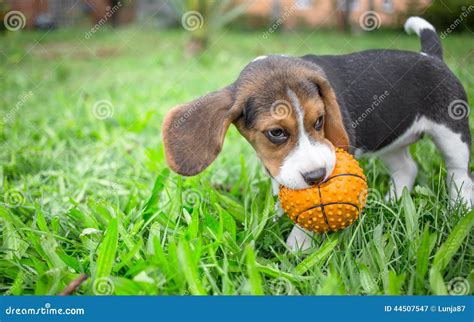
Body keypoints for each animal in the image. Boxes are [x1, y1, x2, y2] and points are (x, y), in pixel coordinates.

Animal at [162, 16, 470, 250]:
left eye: (320, 120)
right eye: (276, 132)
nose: (316, 177)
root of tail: (430, 55)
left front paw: (298, 245)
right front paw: (276, 221)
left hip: (452, 131)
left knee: (459, 174)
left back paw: (461, 209)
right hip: (390, 138)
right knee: (407, 168)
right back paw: (392, 202)